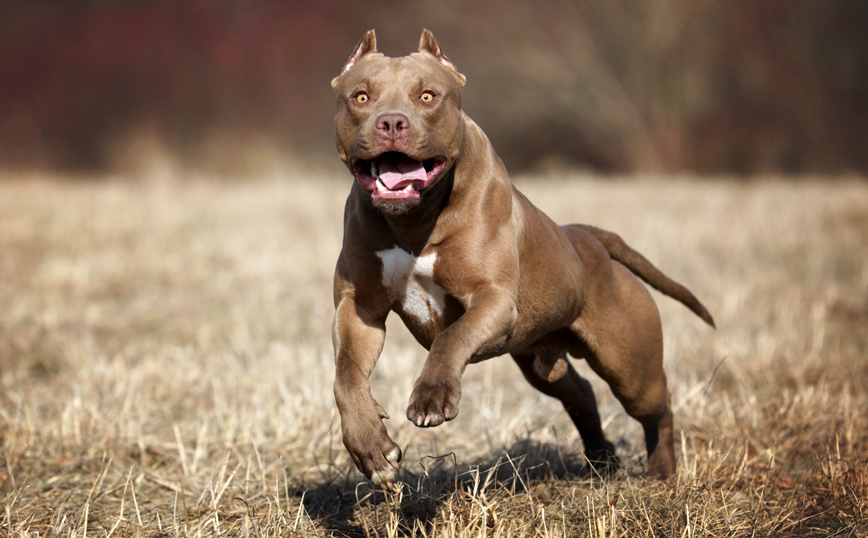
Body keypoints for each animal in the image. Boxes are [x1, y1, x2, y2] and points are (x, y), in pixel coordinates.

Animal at [328, 27, 716, 484]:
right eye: (361, 96)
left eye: (427, 96)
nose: (391, 121)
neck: (413, 220)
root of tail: (585, 236)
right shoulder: (359, 310)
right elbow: (345, 375)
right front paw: (370, 447)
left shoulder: (492, 299)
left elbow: (450, 335)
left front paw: (432, 395)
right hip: (540, 361)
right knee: (580, 393)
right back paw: (601, 461)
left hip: (631, 368)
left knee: (658, 408)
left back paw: (662, 473)